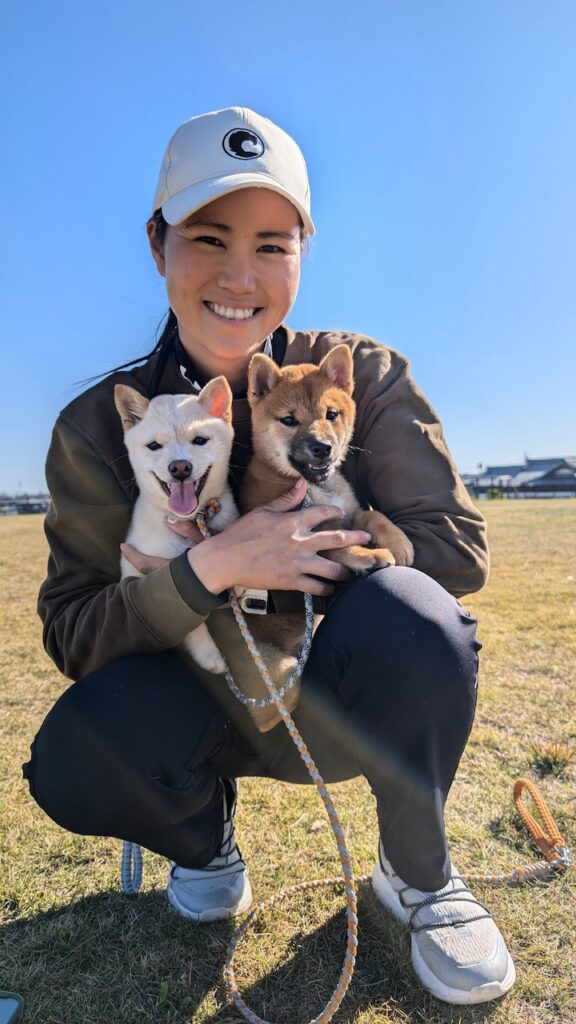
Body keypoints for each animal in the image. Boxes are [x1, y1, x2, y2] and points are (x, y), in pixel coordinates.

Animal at [113, 376, 236, 671]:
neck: (189, 519)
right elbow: (191, 621)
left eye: (200, 440)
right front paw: (208, 654)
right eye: (153, 446)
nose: (180, 467)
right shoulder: (138, 571)